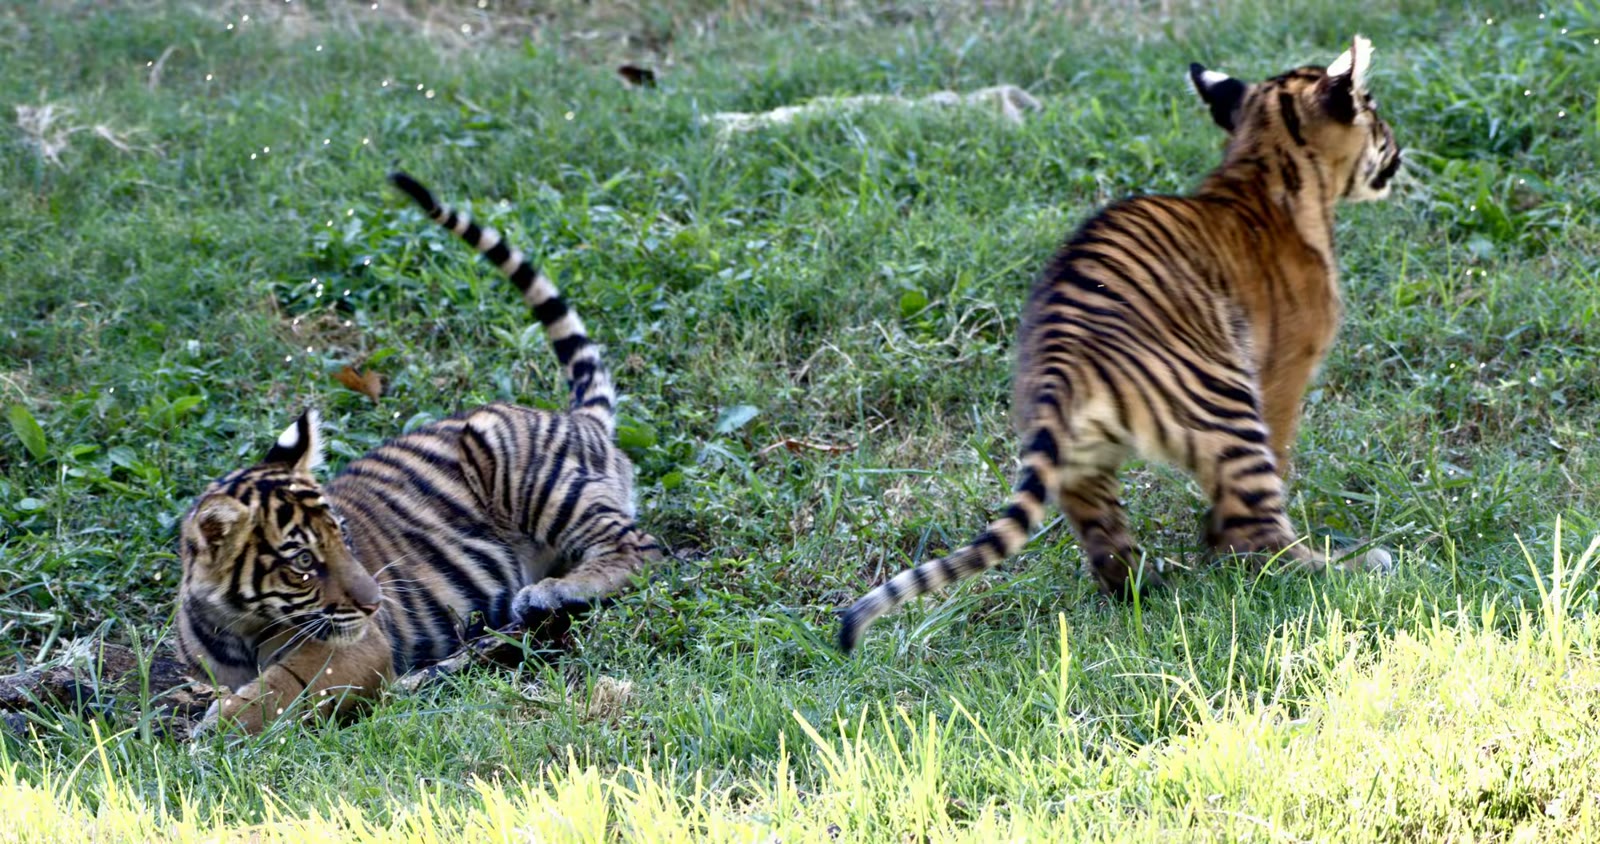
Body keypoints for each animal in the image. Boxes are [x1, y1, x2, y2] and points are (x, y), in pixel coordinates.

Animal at [177, 171, 662, 732]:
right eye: (302, 561)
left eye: (344, 537)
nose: (375, 604)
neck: (234, 624)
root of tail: (575, 417)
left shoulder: (352, 647)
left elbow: (279, 691)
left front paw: (215, 731)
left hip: (522, 468)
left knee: (643, 548)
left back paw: (545, 596)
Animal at [839, 36, 1402, 653]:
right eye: (1374, 111)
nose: (1397, 149)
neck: (1265, 155)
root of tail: (1064, 346)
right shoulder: (1285, 371)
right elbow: (1277, 456)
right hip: (1223, 397)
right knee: (1256, 532)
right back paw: (1347, 568)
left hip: (1080, 456)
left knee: (1106, 543)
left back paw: (1148, 587)